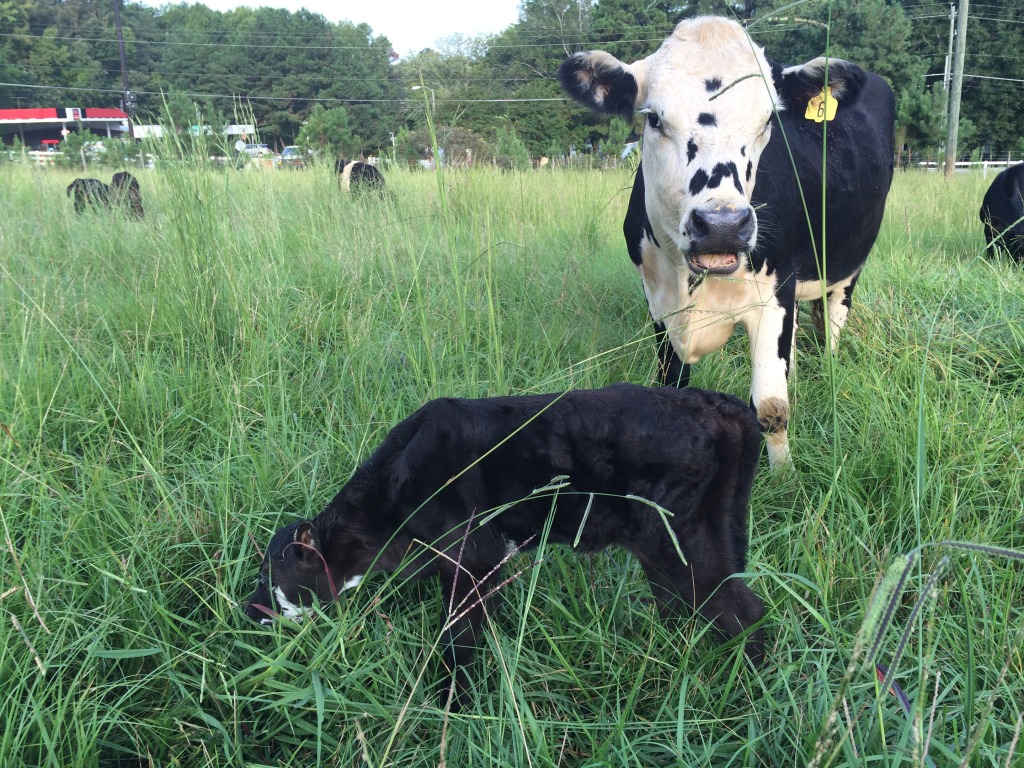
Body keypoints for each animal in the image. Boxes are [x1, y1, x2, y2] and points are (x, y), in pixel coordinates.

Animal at [243, 385, 765, 708]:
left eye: (272, 577)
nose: (248, 613)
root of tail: (718, 403)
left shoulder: (474, 559)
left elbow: (459, 639)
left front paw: (451, 705)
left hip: (684, 541)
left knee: (744, 613)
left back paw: (745, 693)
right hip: (674, 549)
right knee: (686, 609)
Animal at [561, 15, 897, 466]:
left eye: (769, 120)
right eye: (654, 119)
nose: (722, 225)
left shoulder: (774, 292)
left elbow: (772, 407)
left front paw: (784, 476)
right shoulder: (658, 302)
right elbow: (673, 388)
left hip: (847, 268)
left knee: (831, 324)